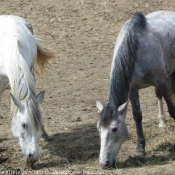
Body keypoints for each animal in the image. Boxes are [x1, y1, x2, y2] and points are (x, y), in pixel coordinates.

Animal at [95, 10, 175, 168]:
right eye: (99, 129)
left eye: (114, 128)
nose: (104, 163)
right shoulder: (132, 89)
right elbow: (137, 116)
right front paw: (140, 148)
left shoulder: (162, 82)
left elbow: (172, 110)